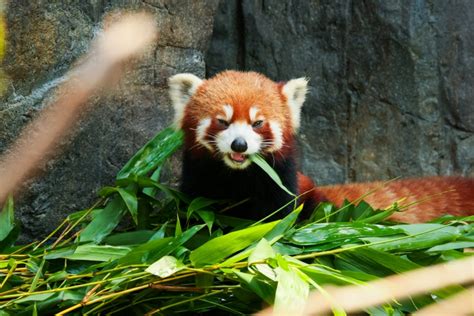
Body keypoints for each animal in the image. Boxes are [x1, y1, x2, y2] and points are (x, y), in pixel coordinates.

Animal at [168, 70, 472, 222]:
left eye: (257, 123)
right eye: (222, 121)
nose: (239, 145)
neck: (237, 178)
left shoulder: (280, 187)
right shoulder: (197, 185)